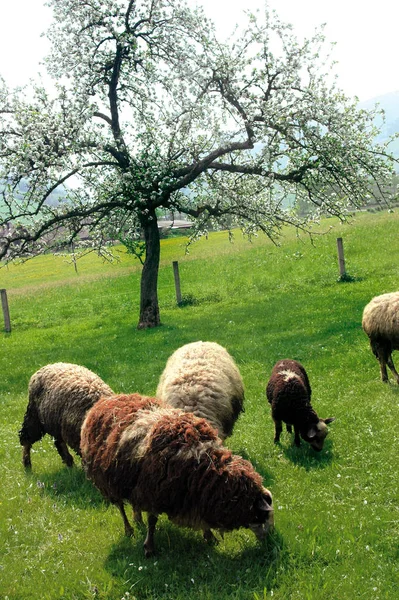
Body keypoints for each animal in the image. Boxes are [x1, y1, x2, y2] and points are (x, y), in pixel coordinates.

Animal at [81, 394, 276, 556]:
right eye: (265, 515)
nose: (270, 542)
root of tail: (104, 401)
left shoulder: (191, 494)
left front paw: (209, 536)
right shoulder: (153, 491)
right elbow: (152, 520)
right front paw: (149, 547)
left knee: (134, 504)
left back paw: (137, 519)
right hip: (108, 480)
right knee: (120, 506)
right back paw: (129, 529)